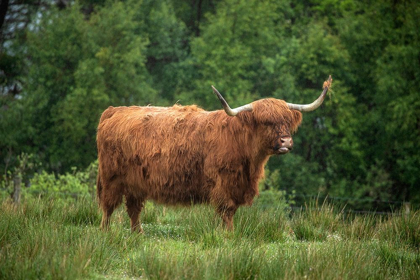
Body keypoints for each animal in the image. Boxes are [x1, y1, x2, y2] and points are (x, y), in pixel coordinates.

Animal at [97, 75, 334, 231]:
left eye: (286, 121)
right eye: (266, 122)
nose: (286, 141)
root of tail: (115, 110)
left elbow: (230, 211)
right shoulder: (223, 184)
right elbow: (226, 211)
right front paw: (228, 234)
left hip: (135, 183)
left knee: (133, 209)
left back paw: (137, 234)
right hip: (112, 178)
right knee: (108, 207)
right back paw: (106, 233)